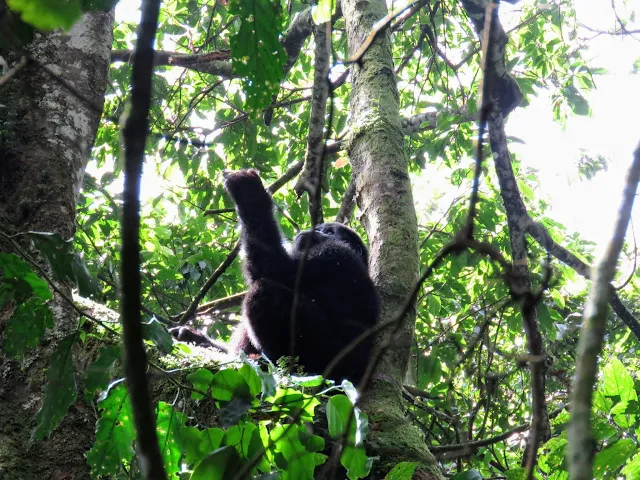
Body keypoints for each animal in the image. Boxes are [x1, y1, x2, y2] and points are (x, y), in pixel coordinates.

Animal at [180, 171, 380, 384]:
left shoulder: (332, 254)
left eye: (328, 230)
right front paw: (194, 338)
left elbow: (275, 269)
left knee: (266, 291)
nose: (313, 229)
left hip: (323, 354)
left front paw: (250, 195)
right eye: (319, 227)